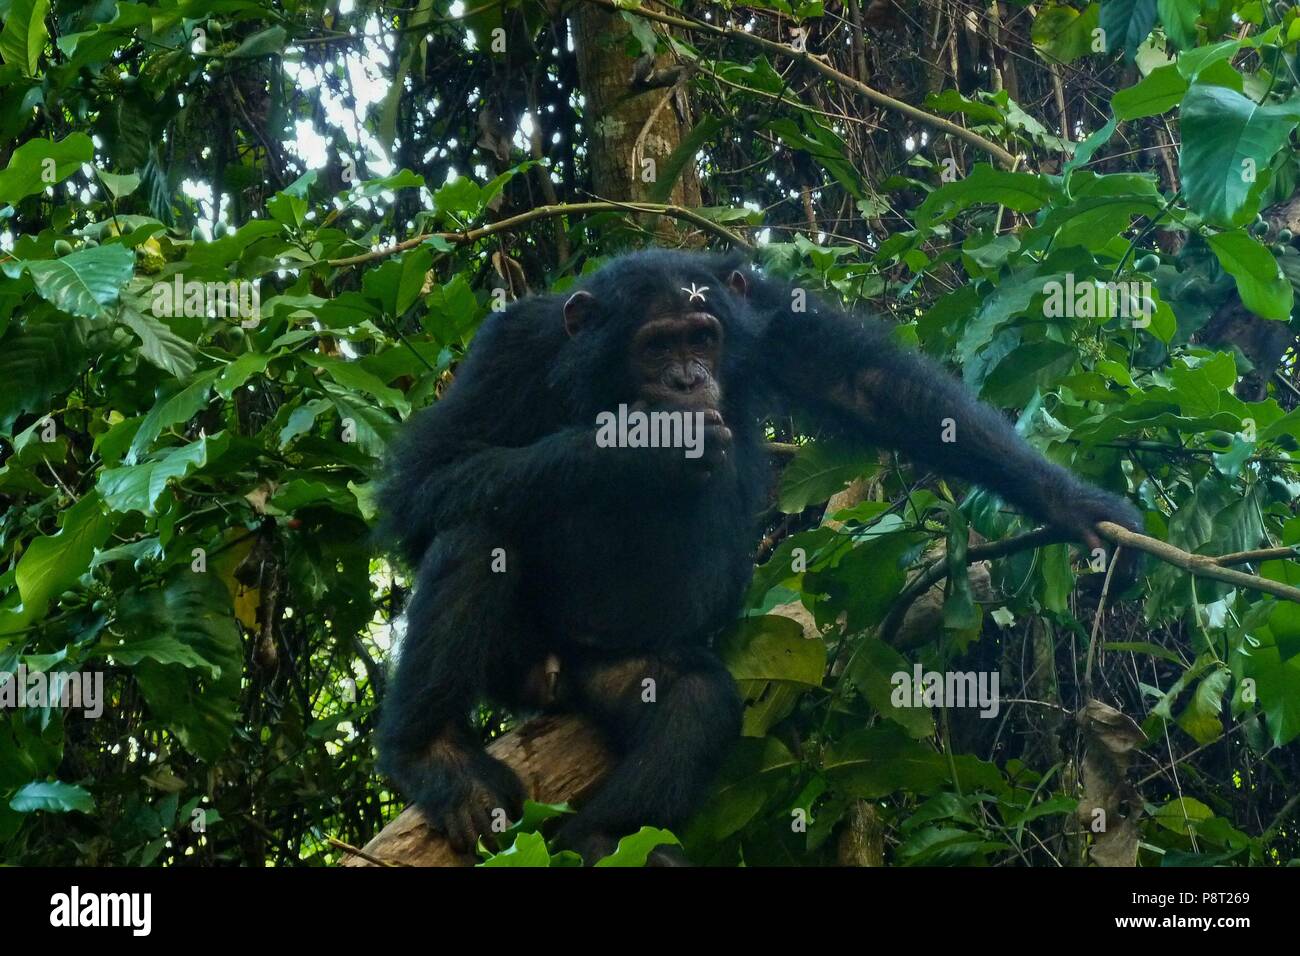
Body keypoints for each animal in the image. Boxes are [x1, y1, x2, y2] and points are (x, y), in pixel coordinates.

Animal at [374, 244, 1138, 858]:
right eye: (656, 347)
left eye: (703, 338)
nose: (686, 380)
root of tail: (561, 670)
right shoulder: (511, 347)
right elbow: (426, 482)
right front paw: (638, 446)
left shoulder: (768, 316)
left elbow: (870, 386)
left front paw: (1069, 503)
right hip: (518, 657)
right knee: (477, 533)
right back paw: (438, 758)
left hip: (623, 665)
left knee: (697, 699)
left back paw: (599, 836)